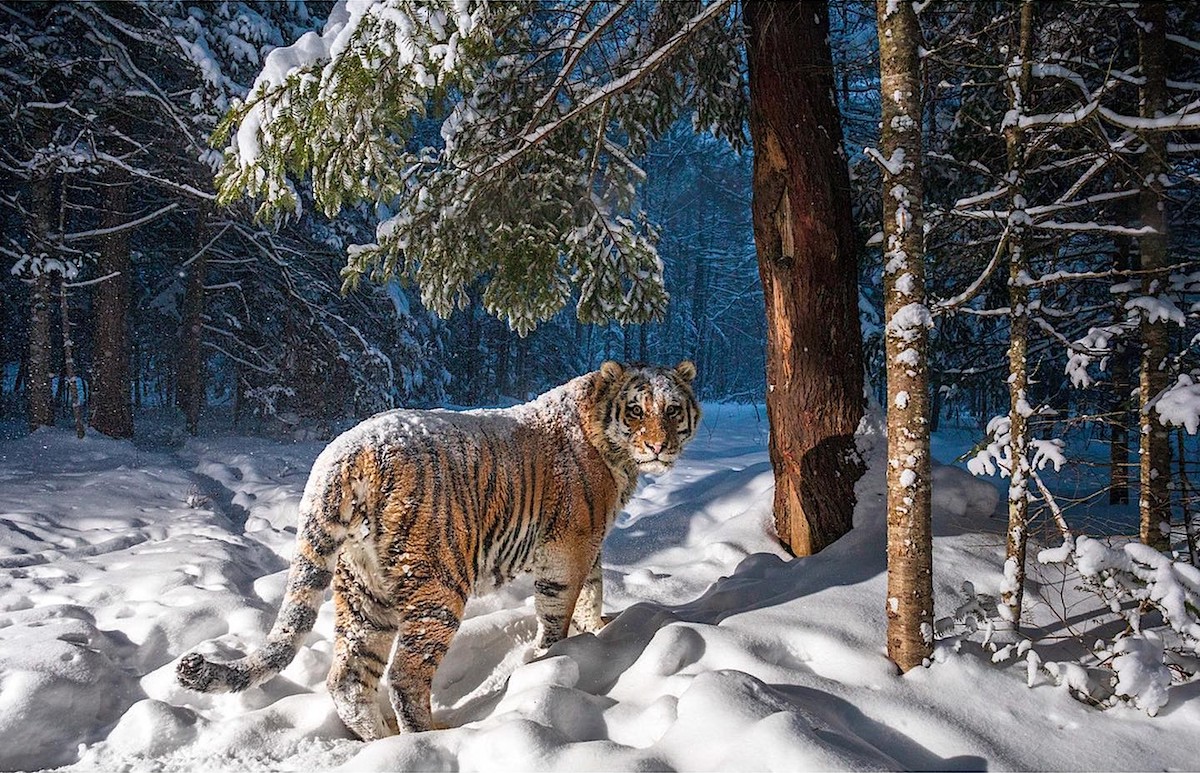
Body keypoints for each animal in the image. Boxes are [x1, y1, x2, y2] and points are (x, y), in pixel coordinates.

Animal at [177, 360, 700, 739]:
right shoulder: (567, 550)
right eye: (636, 411)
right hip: (437, 586)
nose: (658, 446)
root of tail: (343, 453)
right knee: (405, 677)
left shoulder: (590, 547)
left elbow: (593, 591)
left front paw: (598, 631)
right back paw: (430, 738)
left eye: (673, 410)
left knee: (348, 678)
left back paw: (383, 742)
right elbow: (559, 611)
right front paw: (556, 655)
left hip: (364, 592)